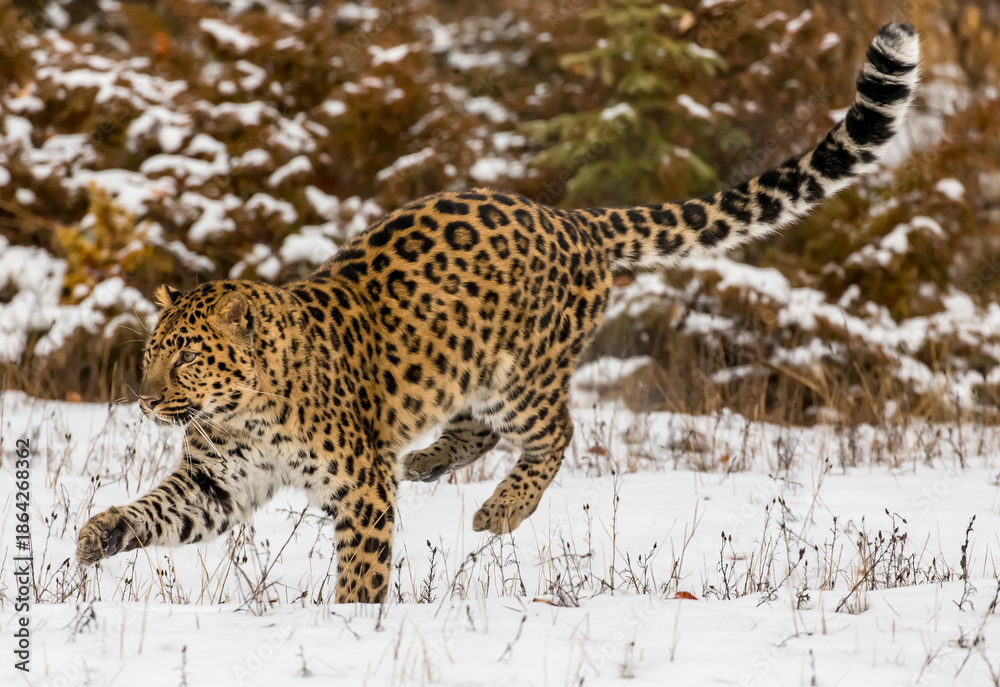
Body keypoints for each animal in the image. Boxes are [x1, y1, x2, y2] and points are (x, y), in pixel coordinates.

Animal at [76, 24, 920, 603]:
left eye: (188, 357)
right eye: (150, 354)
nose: (145, 398)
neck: (242, 411)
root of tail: (574, 220)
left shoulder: (359, 487)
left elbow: (363, 568)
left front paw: (352, 623)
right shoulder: (216, 484)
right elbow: (156, 508)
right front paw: (96, 534)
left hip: (524, 378)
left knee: (556, 431)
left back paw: (501, 511)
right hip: (468, 370)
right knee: (476, 426)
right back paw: (426, 460)